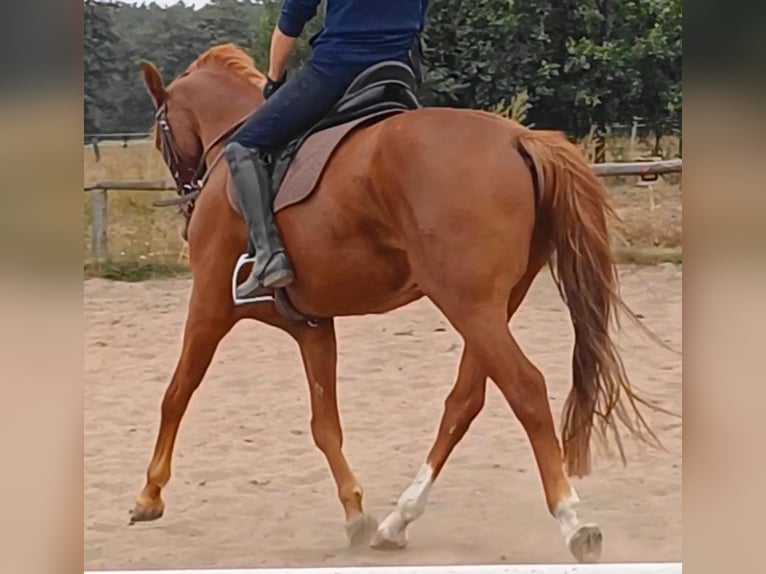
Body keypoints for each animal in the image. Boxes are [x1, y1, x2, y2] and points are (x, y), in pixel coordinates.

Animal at [130, 43, 663, 563]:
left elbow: (175, 393)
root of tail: (516, 138)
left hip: (469, 305)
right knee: (464, 400)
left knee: (525, 389)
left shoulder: (209, 308)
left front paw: (148, 496)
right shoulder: (312, 326)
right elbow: (325, 424)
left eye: (159, 138)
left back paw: (573, 521)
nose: (186, 203)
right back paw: (397, 521)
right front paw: (355, 513)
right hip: (490, 307)